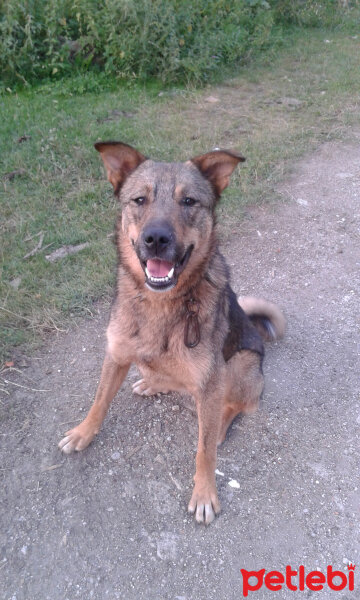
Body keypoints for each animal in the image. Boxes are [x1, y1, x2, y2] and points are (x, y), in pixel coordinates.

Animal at [59, 142, 286, 524]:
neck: (159, 303)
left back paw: (220, 424)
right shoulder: (116, 354)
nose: (156, 238)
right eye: (139, 200)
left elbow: (204, 451)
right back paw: (153, 384)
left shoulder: (210, 382)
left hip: (239, 364)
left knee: (238, 405)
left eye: (189, 201)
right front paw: (83, 432)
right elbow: (99, 400)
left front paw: (205, 493)